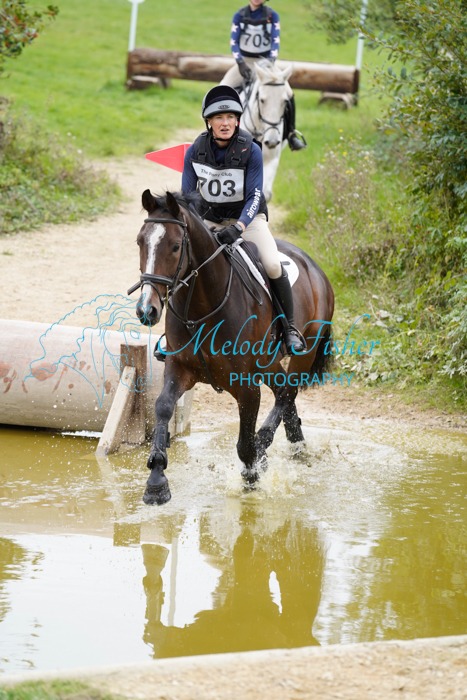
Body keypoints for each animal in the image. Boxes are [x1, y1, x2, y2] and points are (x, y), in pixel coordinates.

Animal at [129, 189, 334, 506]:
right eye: (141, 242)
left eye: (175, 247)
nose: (146, 310)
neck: (202, 304)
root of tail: (315, 268)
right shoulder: (180, 368)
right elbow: (163, 406)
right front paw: (156, 481)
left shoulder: (246, 385)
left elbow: (244, 442)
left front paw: (251, 477)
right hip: (268, 363)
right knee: (283, 392)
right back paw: (295, 444)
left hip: (305, 350)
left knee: (287, 392)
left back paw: (266, 443)